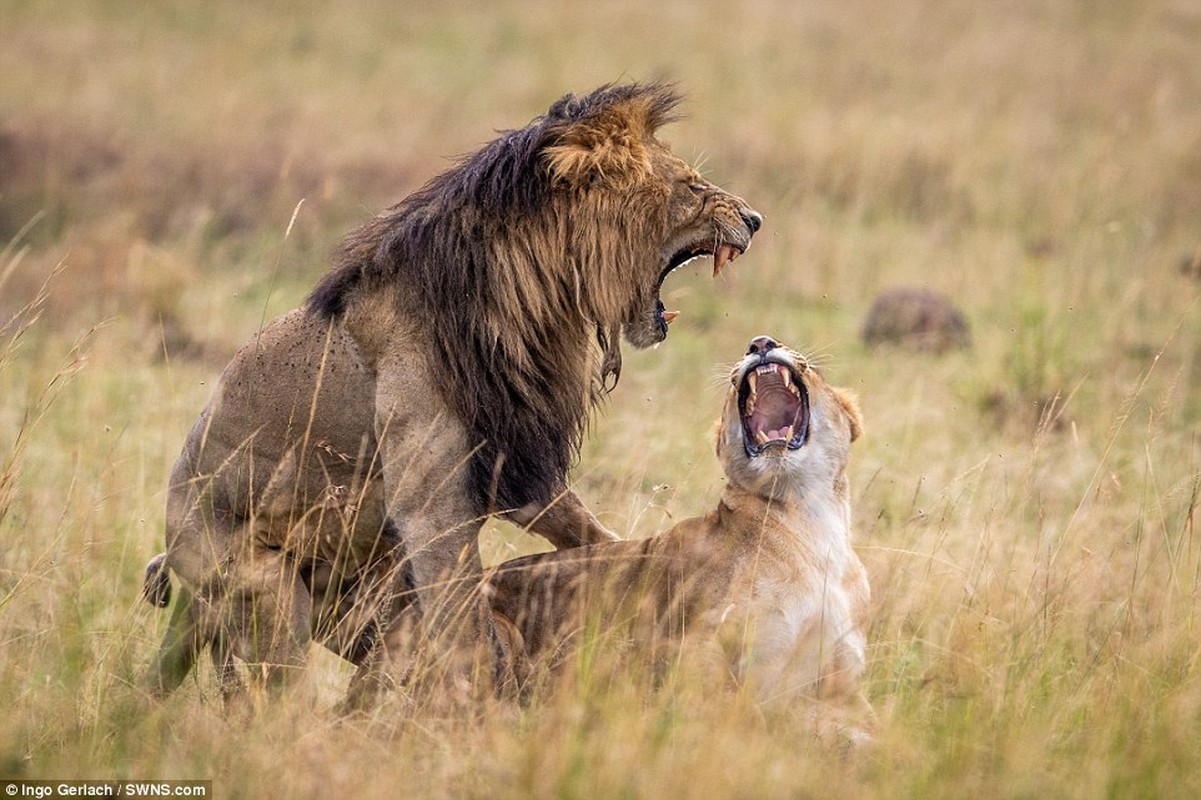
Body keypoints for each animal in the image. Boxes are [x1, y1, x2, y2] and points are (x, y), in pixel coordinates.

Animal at [140, 84, 759, 701]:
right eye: (691, 186)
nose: (755, 219)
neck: (529, 304)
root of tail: (174, 554)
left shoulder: (516, 464)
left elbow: (595, 535)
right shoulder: (432, 512)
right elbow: (469, 634)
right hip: (268, 591)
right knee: (279, 696)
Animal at [485, 333, 874, 739]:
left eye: (813, 371)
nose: (760, 342)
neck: (809, 516)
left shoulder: (842, 682)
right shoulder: (686, 646)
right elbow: (721, 712)